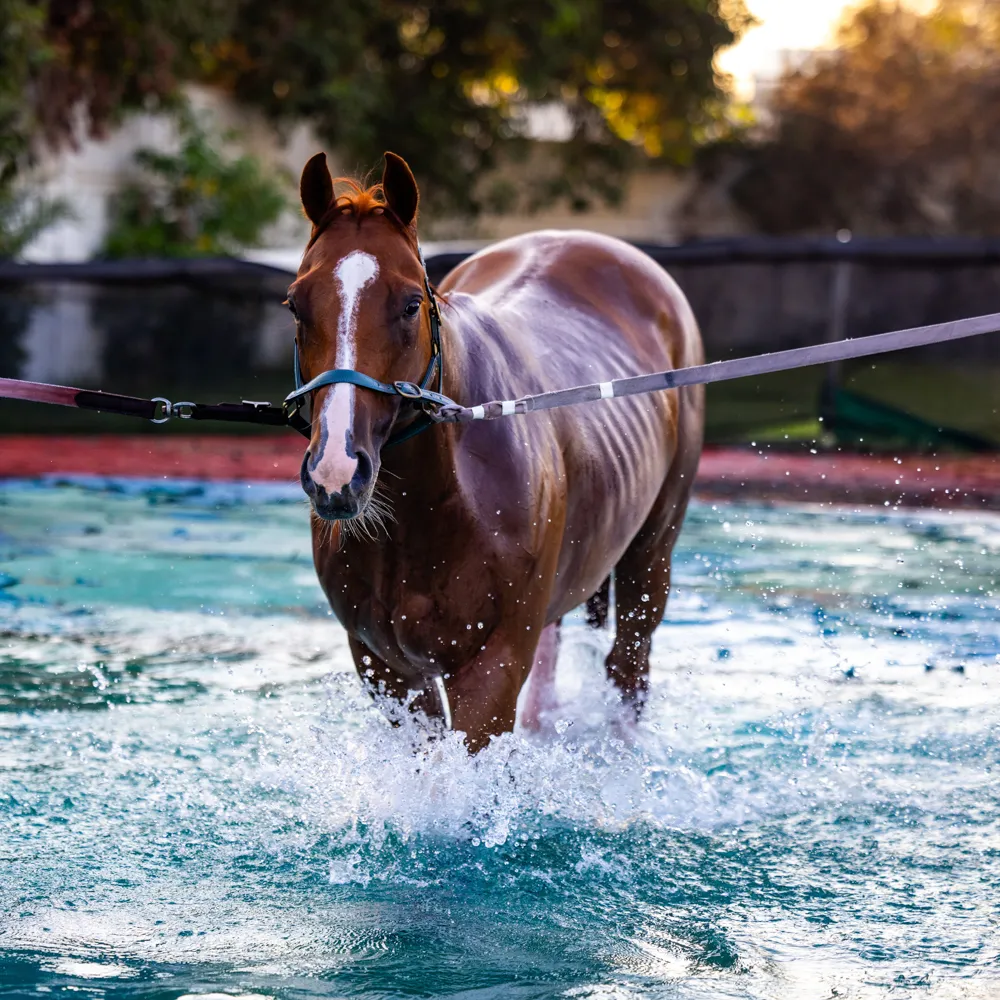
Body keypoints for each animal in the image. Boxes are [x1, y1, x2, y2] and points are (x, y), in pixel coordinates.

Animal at [288, 151, 704, 751]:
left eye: (411, 304)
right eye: (296, 306)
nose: (337, 472)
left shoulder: (492, 666)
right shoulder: (386, 668)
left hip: (652, 552)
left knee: (628, 666)